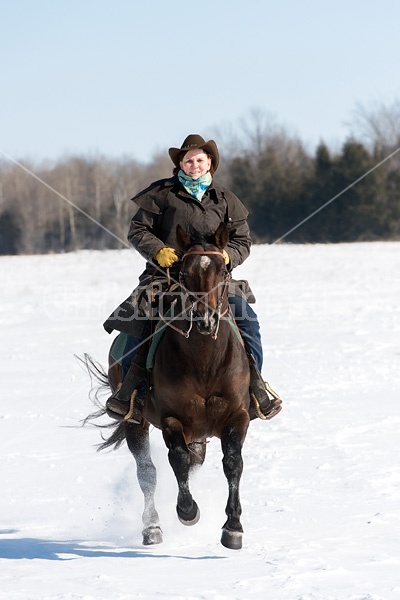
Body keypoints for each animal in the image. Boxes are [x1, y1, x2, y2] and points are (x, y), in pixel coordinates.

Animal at [85, 221, 252, 548]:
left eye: (222, 271)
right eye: (184, 273)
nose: (204, 319)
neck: (204, 361)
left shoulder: (237, 416)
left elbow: (232, 463)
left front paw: (233, 527)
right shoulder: (171, 418)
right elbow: (177, 459)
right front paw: (187, 511)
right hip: (135, 421)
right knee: (147, 472)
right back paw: (152, 528)